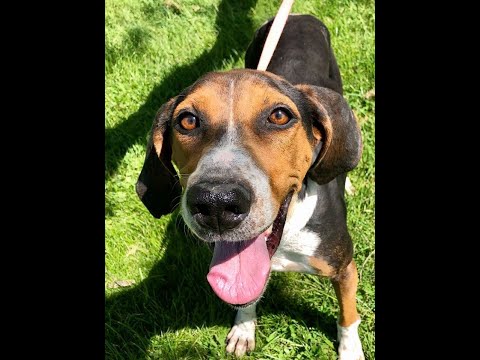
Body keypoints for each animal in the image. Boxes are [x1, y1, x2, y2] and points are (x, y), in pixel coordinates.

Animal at [135, 14, 364, 360]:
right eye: (187, 120)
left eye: (280, 115)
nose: (217, 203)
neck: (287, 234)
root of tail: (298, 16)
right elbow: (245, 299)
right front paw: (243, 329)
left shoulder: (344, 268)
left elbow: (348, 316)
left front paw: (351, 351)